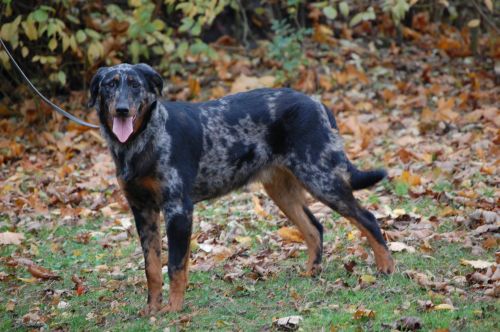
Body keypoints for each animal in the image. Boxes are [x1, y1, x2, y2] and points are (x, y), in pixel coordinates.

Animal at [89, 63, 394, 316]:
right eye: (110, 85)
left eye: (135, 85)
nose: (122, 109)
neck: (140, 143)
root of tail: (317, 104)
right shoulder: (143, 210)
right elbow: (151, 267)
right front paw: (152, 309)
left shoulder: (178, 208)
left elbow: (175, 266)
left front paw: (173, 310)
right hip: (282, 190)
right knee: (314, 228)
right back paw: (312, 273)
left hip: (322, 178)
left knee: (367, 218)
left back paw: (386, 268)